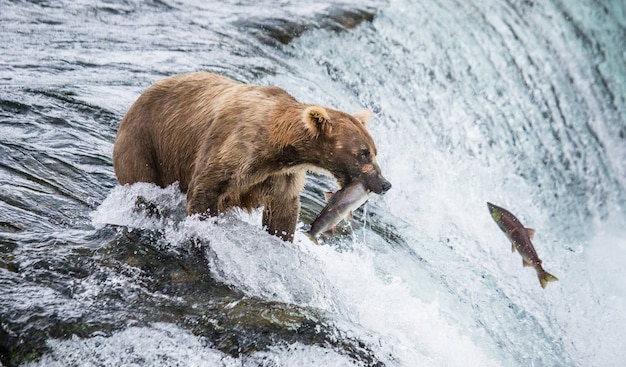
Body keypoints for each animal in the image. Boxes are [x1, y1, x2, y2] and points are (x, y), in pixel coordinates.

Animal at [109, 73, 388, 243]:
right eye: (363, 153)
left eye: (375, 152)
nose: (385, 183)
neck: (278, 148)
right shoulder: (233, 150)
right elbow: (205, 189)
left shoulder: (280, 176)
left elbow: (282, 211)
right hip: (143, 146)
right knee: (143, 189)